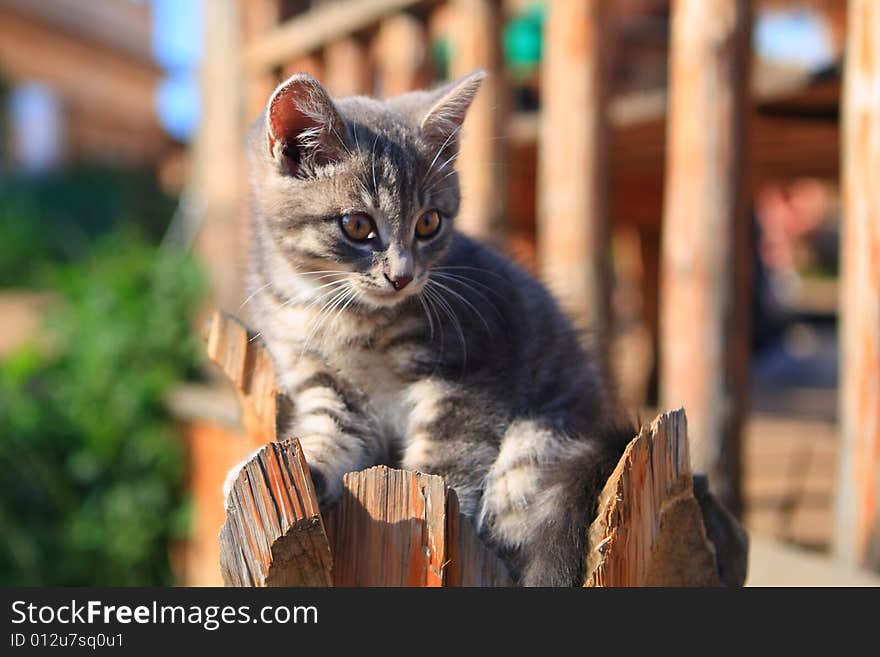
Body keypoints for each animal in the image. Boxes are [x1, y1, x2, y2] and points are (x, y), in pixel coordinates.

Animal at [237, 70, 632, 584]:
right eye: (358, 225)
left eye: (429, 223)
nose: (403, 276)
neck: (340, 314)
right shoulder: (323, 381)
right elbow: (328, 431)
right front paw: (312, 468)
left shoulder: (473, 375)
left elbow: (444, 462)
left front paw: (441, 526)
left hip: (543, 435)